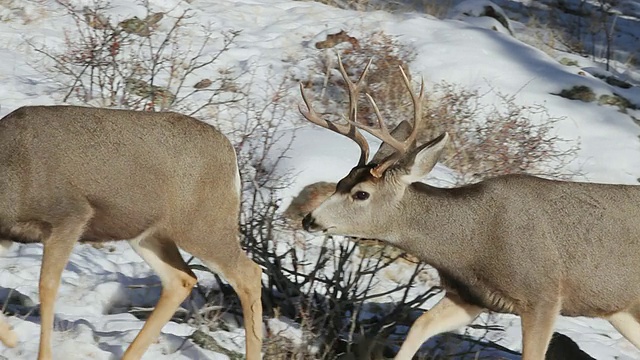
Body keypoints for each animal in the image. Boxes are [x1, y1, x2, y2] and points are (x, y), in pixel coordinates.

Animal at [0, 105, 262, 358]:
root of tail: (230, 152)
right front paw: (11, 338)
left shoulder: (70, 216)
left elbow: (47, 286)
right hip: (148, 235)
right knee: (181, 278)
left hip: (202, 225)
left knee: (249, 273)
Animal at [298, 55, 640, 360]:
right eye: (340, 181)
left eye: (361, 194)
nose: (309, 219)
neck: (472, 243)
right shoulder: (470, 296)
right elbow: (420, 326)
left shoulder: (542, 293)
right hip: (623, 311)